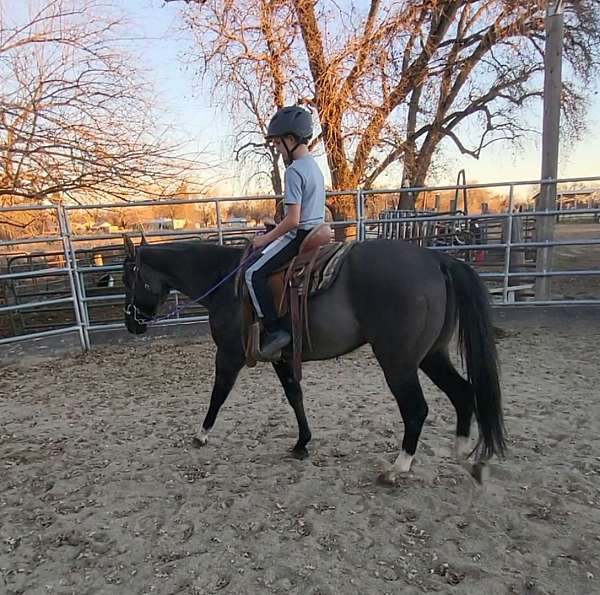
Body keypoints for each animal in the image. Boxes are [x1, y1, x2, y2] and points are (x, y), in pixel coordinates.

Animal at [123, 235, 506, 486]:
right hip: (431, 355)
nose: (131, 324)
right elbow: (295, 396)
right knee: (463, 392)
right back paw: (464, 455)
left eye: (128, 278)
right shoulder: (279, 357)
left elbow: (218, 395)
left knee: (416, 409)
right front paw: (302, 443)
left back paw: (398, 468)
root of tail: (437, 260)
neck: (226, 281)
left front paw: (201, 435)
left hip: (398, 363)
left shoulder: (229, 356)